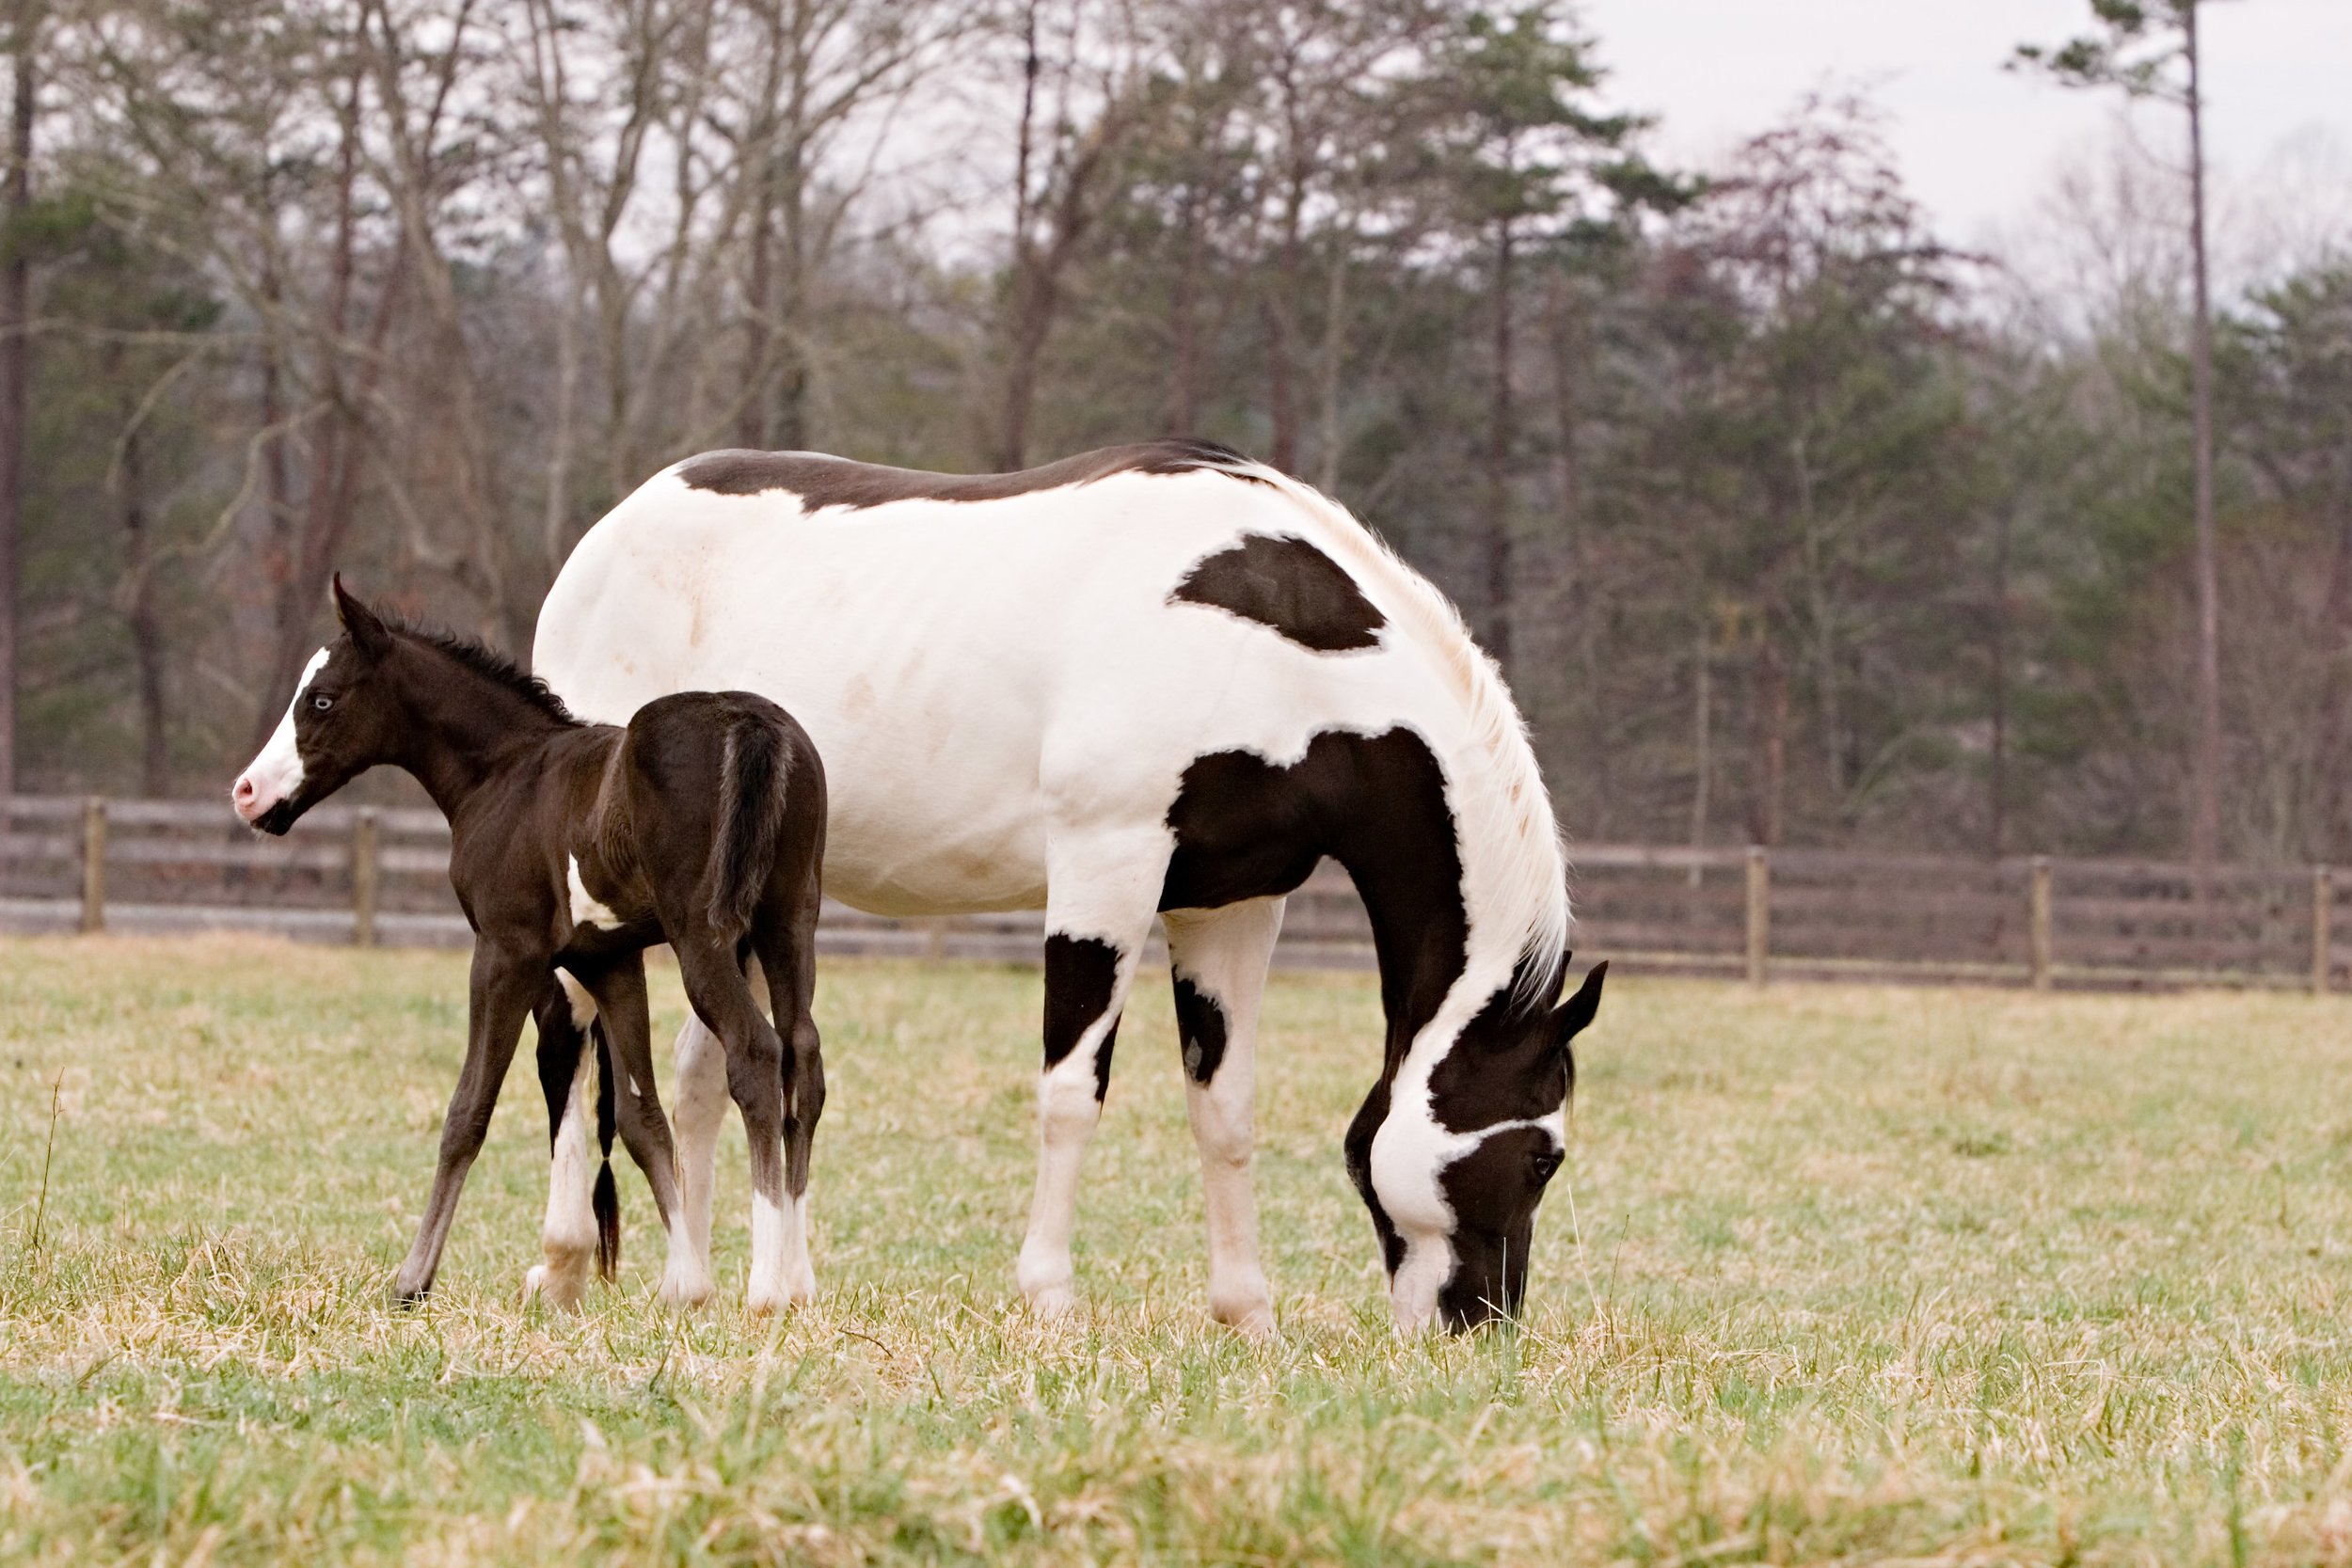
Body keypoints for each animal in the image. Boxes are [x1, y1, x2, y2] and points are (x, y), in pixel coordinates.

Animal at [236, 576, 828, 1316]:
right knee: (802, 1055)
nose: (247, 792)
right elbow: (640, 1117)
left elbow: (468, 1111)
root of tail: (751, 722)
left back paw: (768, 1287)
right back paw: (797, 1283)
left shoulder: (504, 950)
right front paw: (685, 1282)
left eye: (321, 698)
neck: (506, 772)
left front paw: (412, 1280)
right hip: (787, 922)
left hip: (704, 937)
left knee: (755, 1053)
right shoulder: (608, 959)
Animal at [532, 441, 1599, 1335]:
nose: (1481, 1323)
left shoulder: (1231, 905)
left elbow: (1224, 1108)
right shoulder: (1105, 869)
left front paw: (1244, 1311)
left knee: (704, 1073)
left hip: (740, 906)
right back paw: (563, 1261)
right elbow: (1070, 1094)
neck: (1274, 647)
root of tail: (612, 528)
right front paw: (1048, 1295)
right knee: (571, 1048)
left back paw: (698, 1281)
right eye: (1541, 1154)